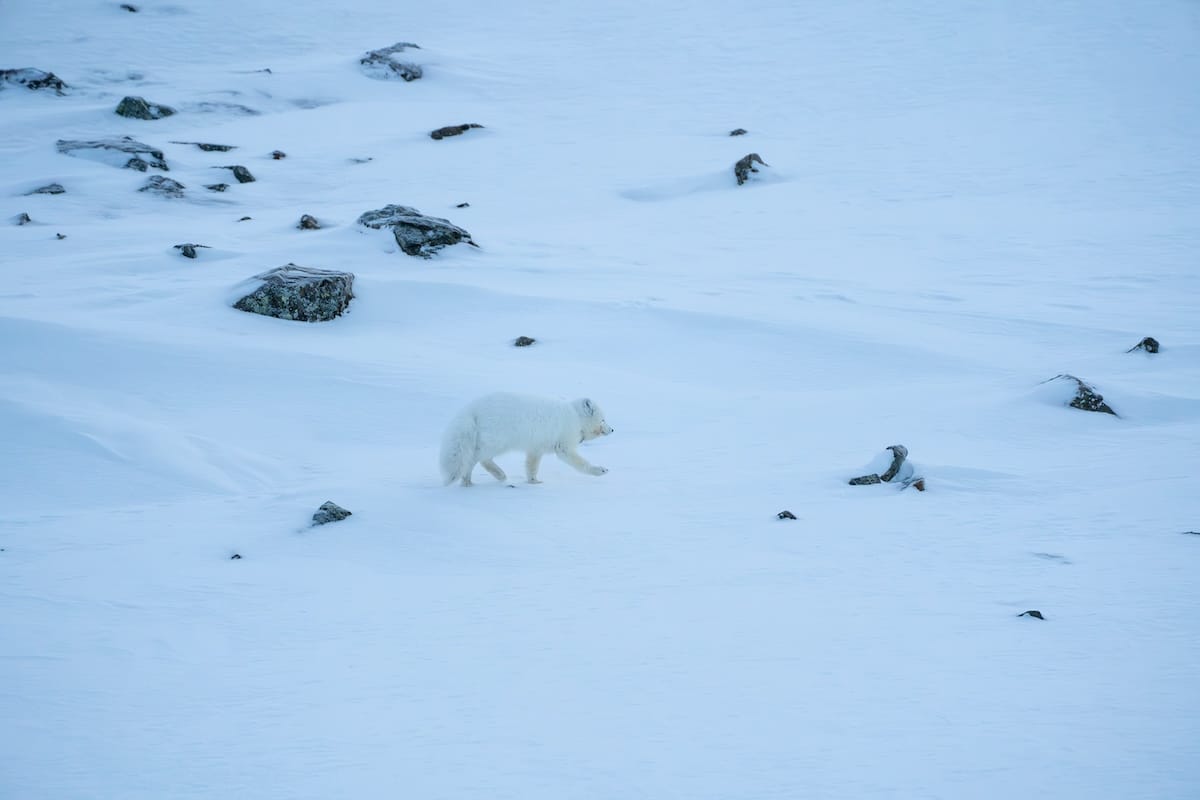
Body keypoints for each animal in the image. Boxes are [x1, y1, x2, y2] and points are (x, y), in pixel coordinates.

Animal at [436, 393, 614, 489]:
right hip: (497, 442)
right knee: (476, 460)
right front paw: (599, 470)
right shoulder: (564, 446)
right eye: (603, 420)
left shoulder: (536, 448)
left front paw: (534, 482)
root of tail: (472, 409)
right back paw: (473, 480)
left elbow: (531, 467)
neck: (575, 417)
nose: (613, 430)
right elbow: (581, 463)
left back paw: (494, 476)